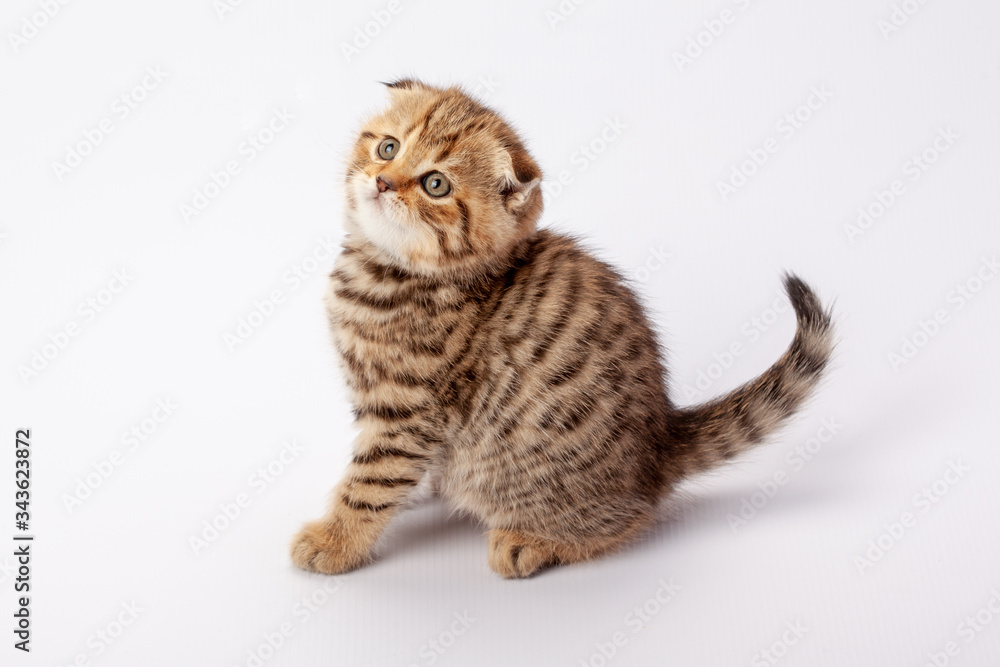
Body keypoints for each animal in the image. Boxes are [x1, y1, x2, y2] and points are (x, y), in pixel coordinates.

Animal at [292, 78, 836, 580]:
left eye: (435, 185)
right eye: (388, 147)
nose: (383, 181)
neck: (389, 271)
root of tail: (662, 445)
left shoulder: (408, 412)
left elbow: (371, 483)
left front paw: (334, 541)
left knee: (628, 521)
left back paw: (532, 541)